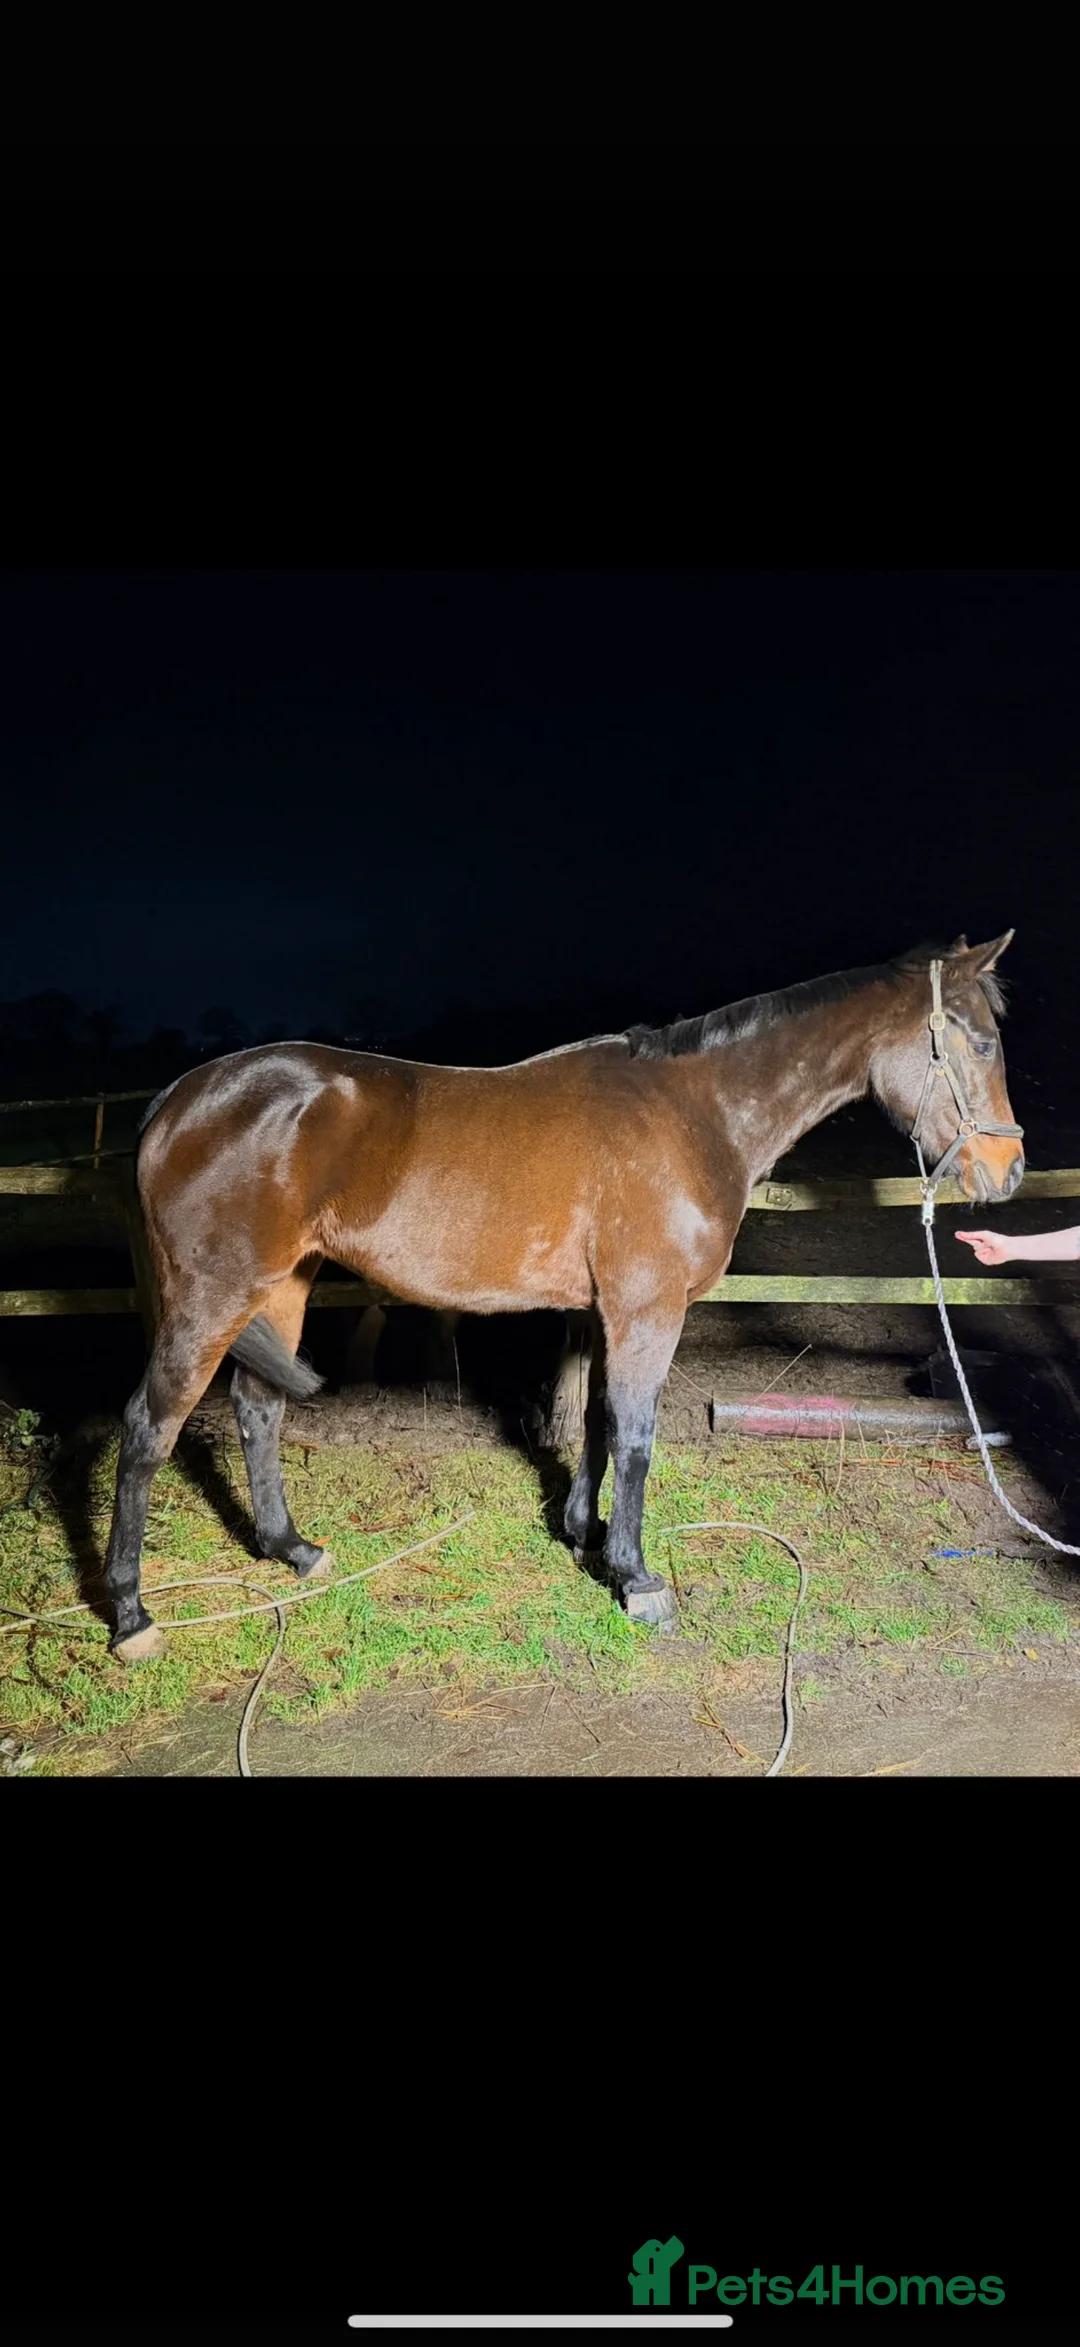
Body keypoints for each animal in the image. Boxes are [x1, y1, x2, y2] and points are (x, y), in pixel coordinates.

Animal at [104, 931, 1023, 1660]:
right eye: (978, 1042)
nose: (1007, 1172)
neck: (696, 1112)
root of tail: (174, 1102)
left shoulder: (602, 1308)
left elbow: (593, 1423)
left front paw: (583, 1537)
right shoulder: (649, 1307)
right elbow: (637, 1435)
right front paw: (637, 1578)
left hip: (282, 1286)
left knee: (258, 1409)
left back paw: (292, 1549)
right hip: (213, 1298)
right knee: (149, 1428)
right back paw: (131, 1615)